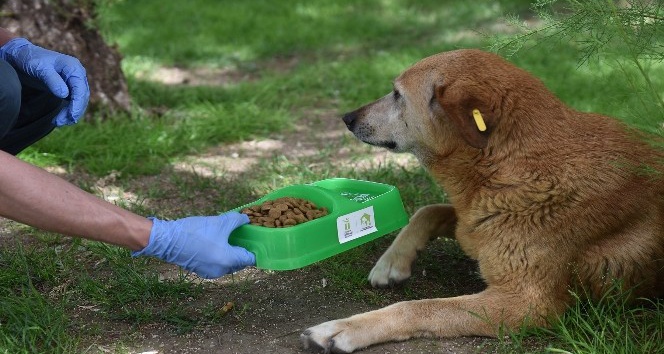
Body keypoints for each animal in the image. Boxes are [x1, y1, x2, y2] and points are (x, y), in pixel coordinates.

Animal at [300, 48, 664, 352]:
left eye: (397, 94)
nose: (347, 118)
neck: (506, 167)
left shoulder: (525, 305)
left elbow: (420, 308)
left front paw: (345, 328)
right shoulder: (471, 223)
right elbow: (428, 210)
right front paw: (391, 263)